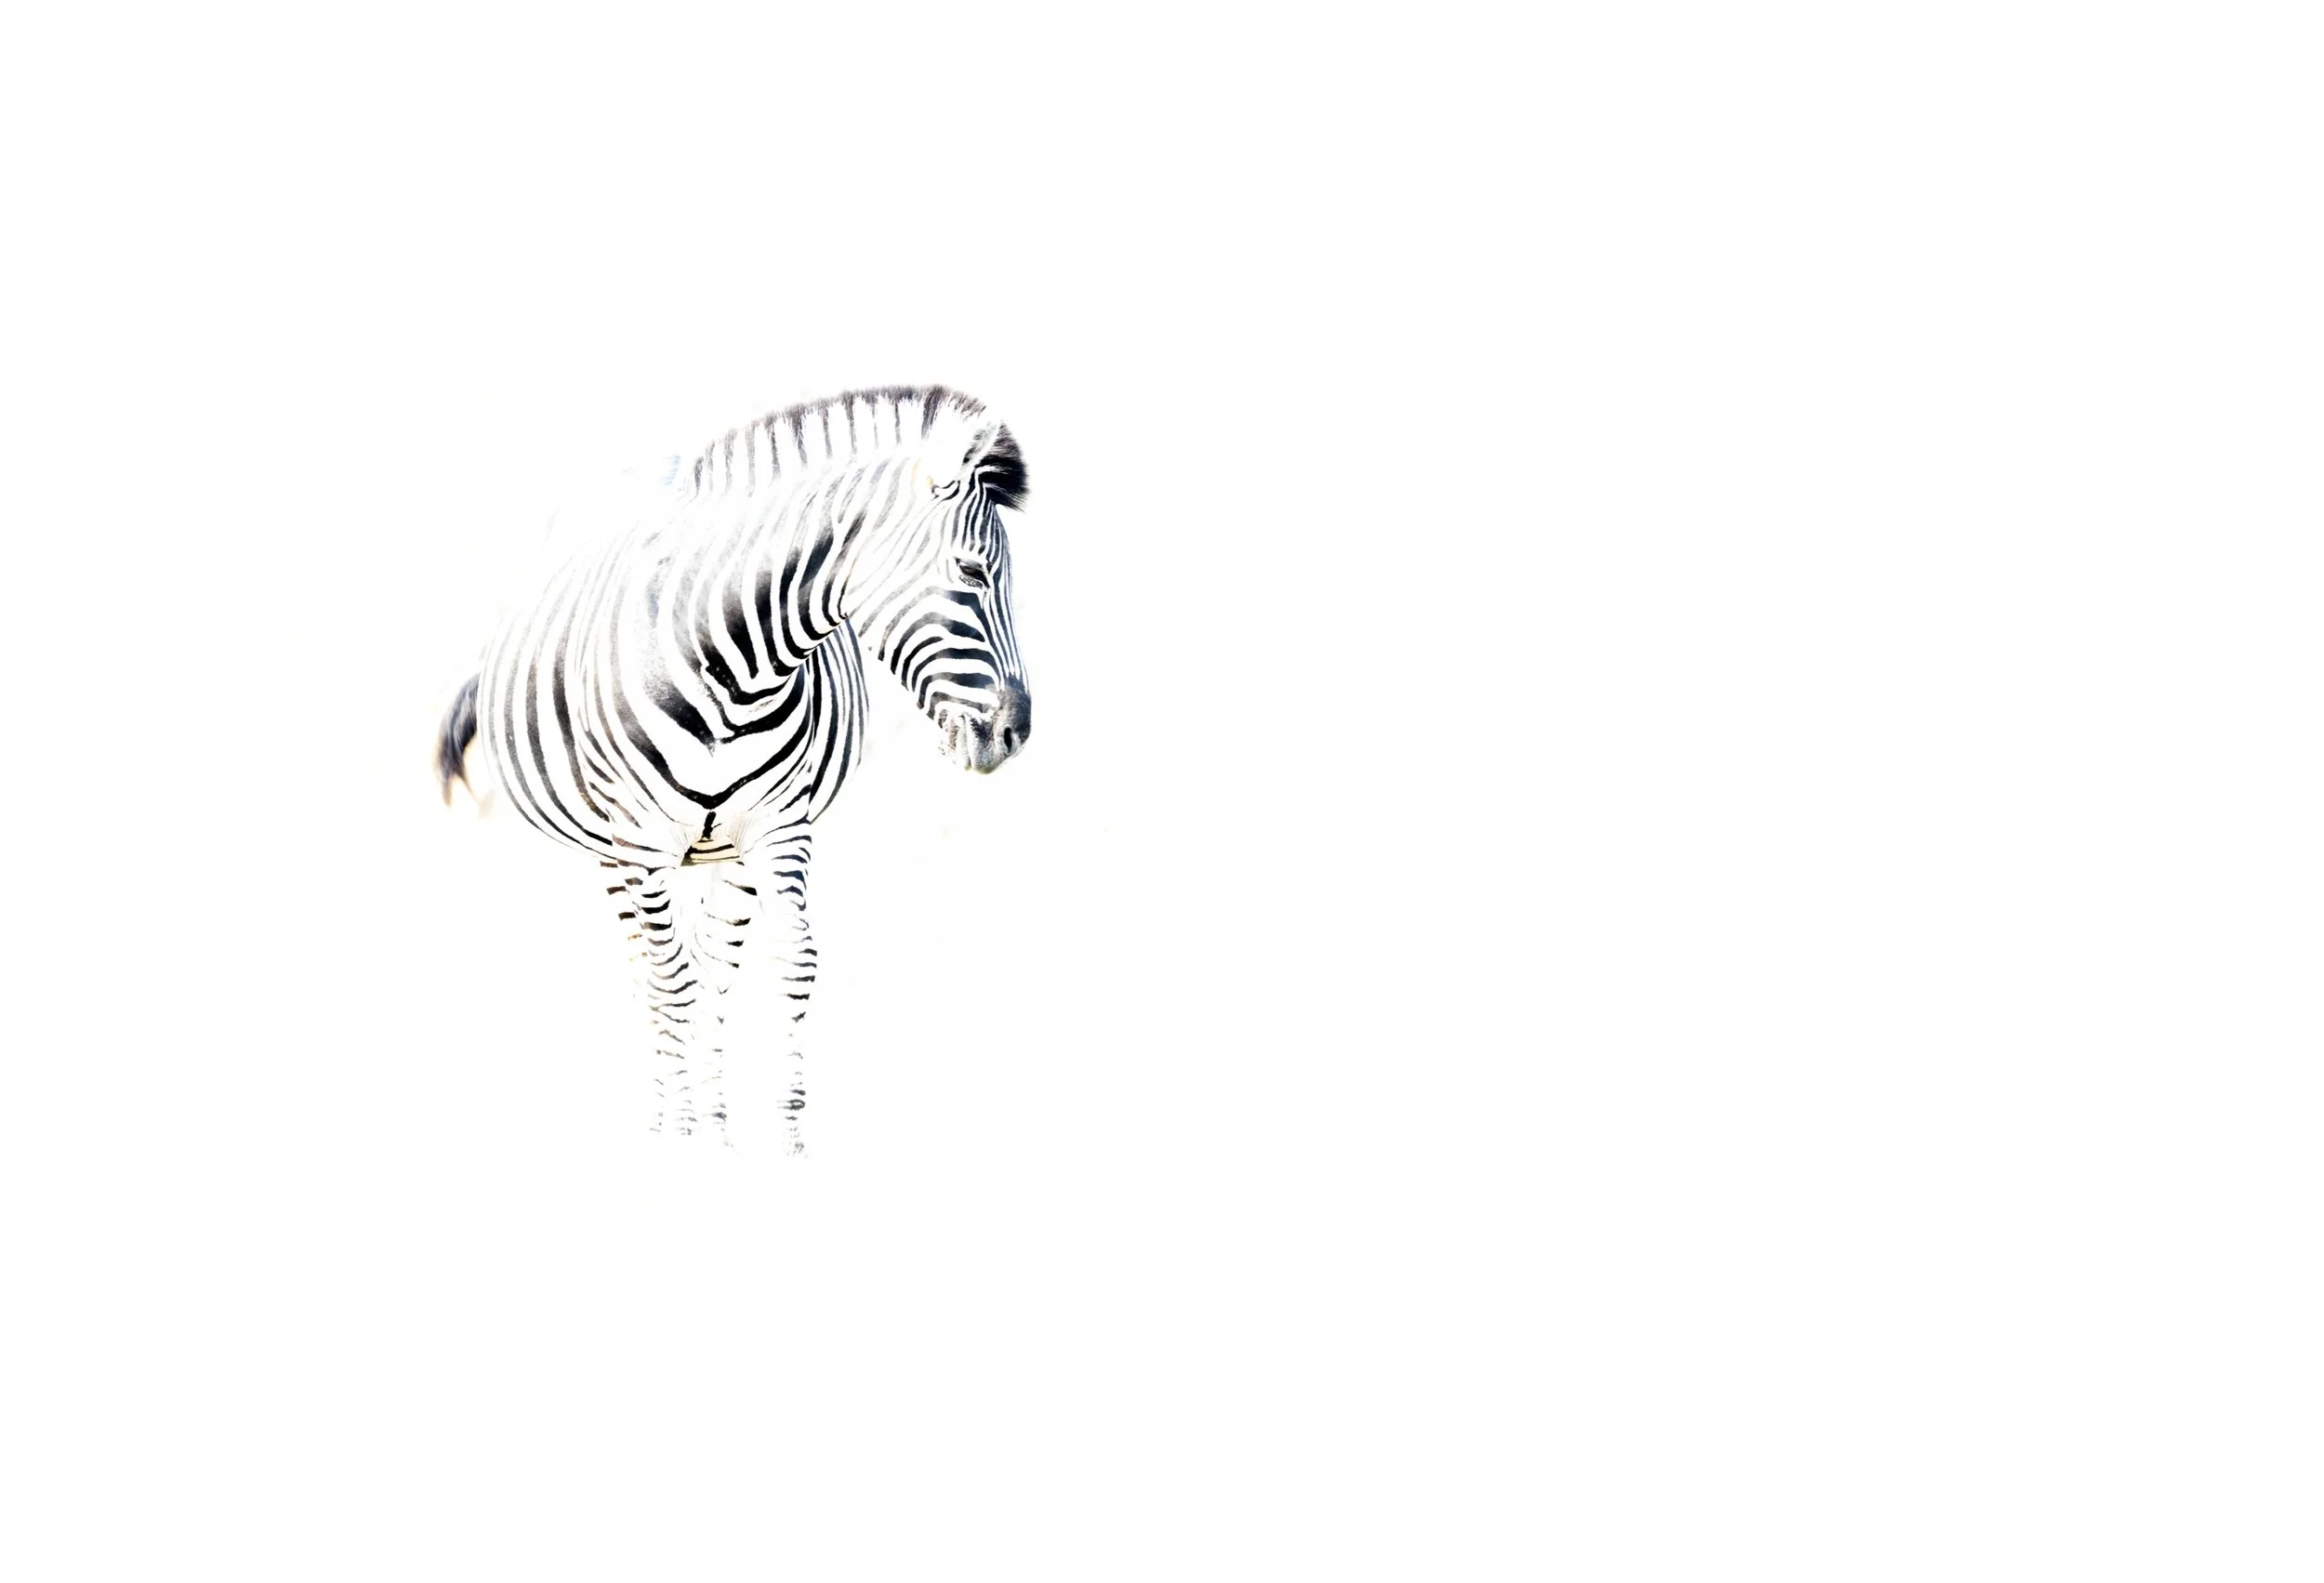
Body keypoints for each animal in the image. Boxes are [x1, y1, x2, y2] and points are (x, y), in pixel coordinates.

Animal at [436, 385, 1032, 1151]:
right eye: (971, 572)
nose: (1017, 731)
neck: (734, 670)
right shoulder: (641, 843)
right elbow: (670, 983)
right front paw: (682, 1135)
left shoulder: (780, 830)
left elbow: (788, 966)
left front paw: (780, 1135)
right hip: (614, 850)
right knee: (651, 973)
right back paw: (669, 1116)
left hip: (725, 850)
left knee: (712, 962)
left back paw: (718, 1120)